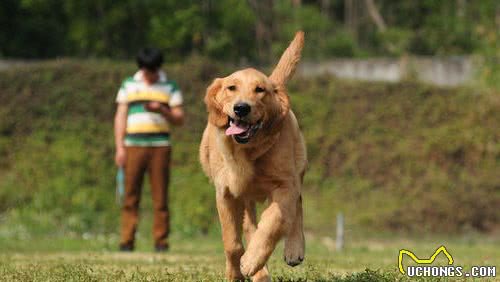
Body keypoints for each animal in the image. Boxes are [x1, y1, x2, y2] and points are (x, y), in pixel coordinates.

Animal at [199, 32, 304, 280]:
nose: (241, 108)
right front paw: (235, 273)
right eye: (231, 88)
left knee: (297, 204)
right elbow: (232, 244)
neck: (247, 153)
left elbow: (273, 222)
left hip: (298, 166)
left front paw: (251, 261)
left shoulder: (285, 185)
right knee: (248, 227)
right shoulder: (225, 193)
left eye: (260, 90)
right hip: (245, 199)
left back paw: (293, 249)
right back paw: (259, 273)